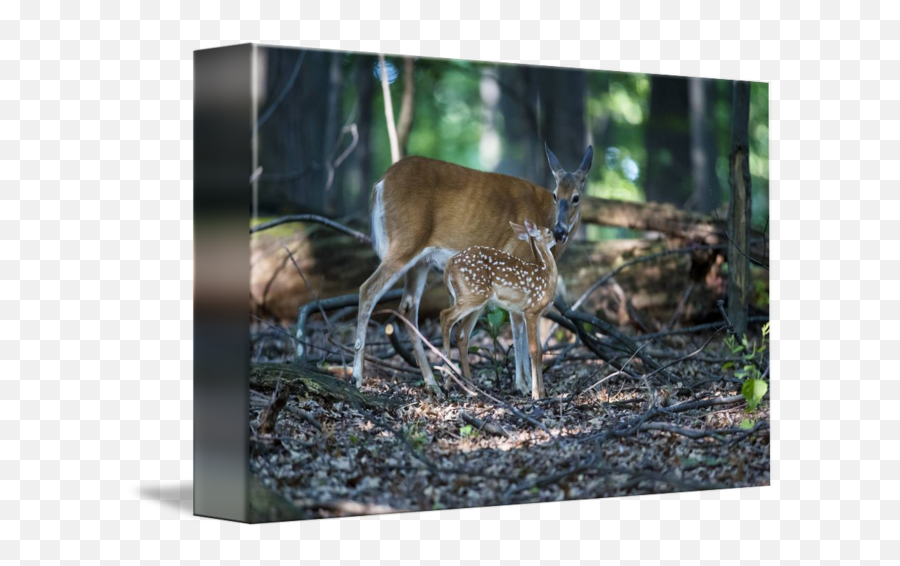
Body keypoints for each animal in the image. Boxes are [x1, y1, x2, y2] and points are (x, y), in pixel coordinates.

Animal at [442, 220, 560, 402]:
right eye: (548, 231)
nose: (559, 235)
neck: (545, 275)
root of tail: (450, 262)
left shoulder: (539, 315)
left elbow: (540, 351)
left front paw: (543, 392)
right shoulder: (530, 310)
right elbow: (533, 351)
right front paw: (535, 394)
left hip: (476, 302)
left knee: (461, 333)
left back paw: (471, 388)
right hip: (472, 295)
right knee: (445, 317)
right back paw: (447, 383)